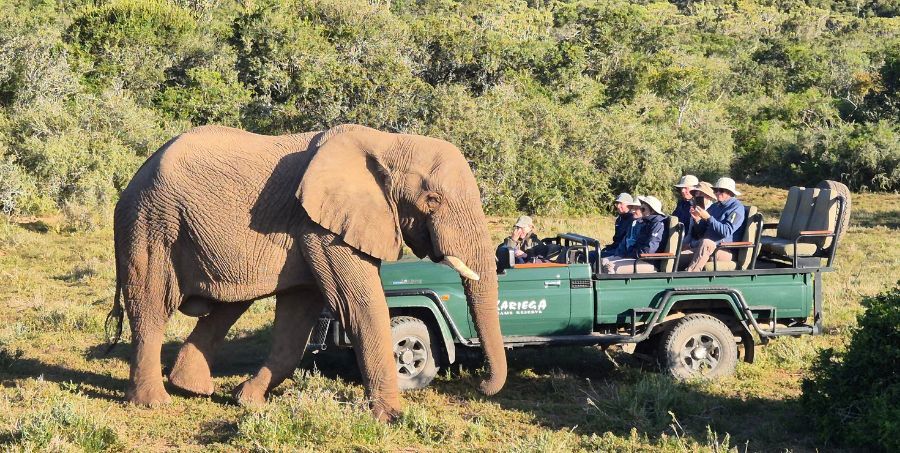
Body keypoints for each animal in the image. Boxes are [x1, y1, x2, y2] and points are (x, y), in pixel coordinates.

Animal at [108, 124, 507, 420]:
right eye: (432, 201)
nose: (480, 387)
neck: (388, 142)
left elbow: (298, 316)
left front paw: (247, 401)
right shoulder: (321, 227)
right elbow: (358, 304)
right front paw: (392, 417)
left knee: (229, 304)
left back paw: (193, 388)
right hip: (151, 225)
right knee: (151, 307)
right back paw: (153, 403)